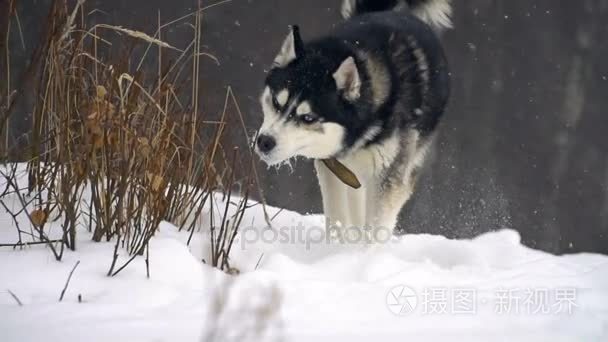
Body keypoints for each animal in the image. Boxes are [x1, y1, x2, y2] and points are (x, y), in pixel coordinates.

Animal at [255, 0, 452, 242]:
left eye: (308, 118)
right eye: (276, 102)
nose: (265, 142)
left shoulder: (388, 178)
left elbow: (375, 229)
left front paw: (362, 252)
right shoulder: (332, 169)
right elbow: (337, 217)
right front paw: (337, 249)